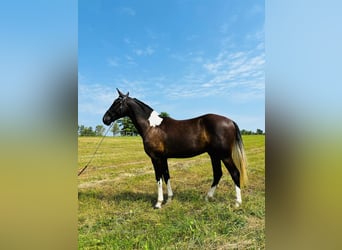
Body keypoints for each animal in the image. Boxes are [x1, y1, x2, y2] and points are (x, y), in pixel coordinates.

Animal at [103, 89, 247, 208]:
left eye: (117, 102)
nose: (105, 119)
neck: (152, 126)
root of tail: (230, 121)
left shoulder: (155, 158)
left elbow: (158, 178)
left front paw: (158, 203)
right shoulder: (163, 158)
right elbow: (166, 176)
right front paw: (169, 199)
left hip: (224, 155)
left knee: (235, 173)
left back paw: (237, 202)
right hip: (214, 155)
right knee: (217, 174)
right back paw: (208, 197)